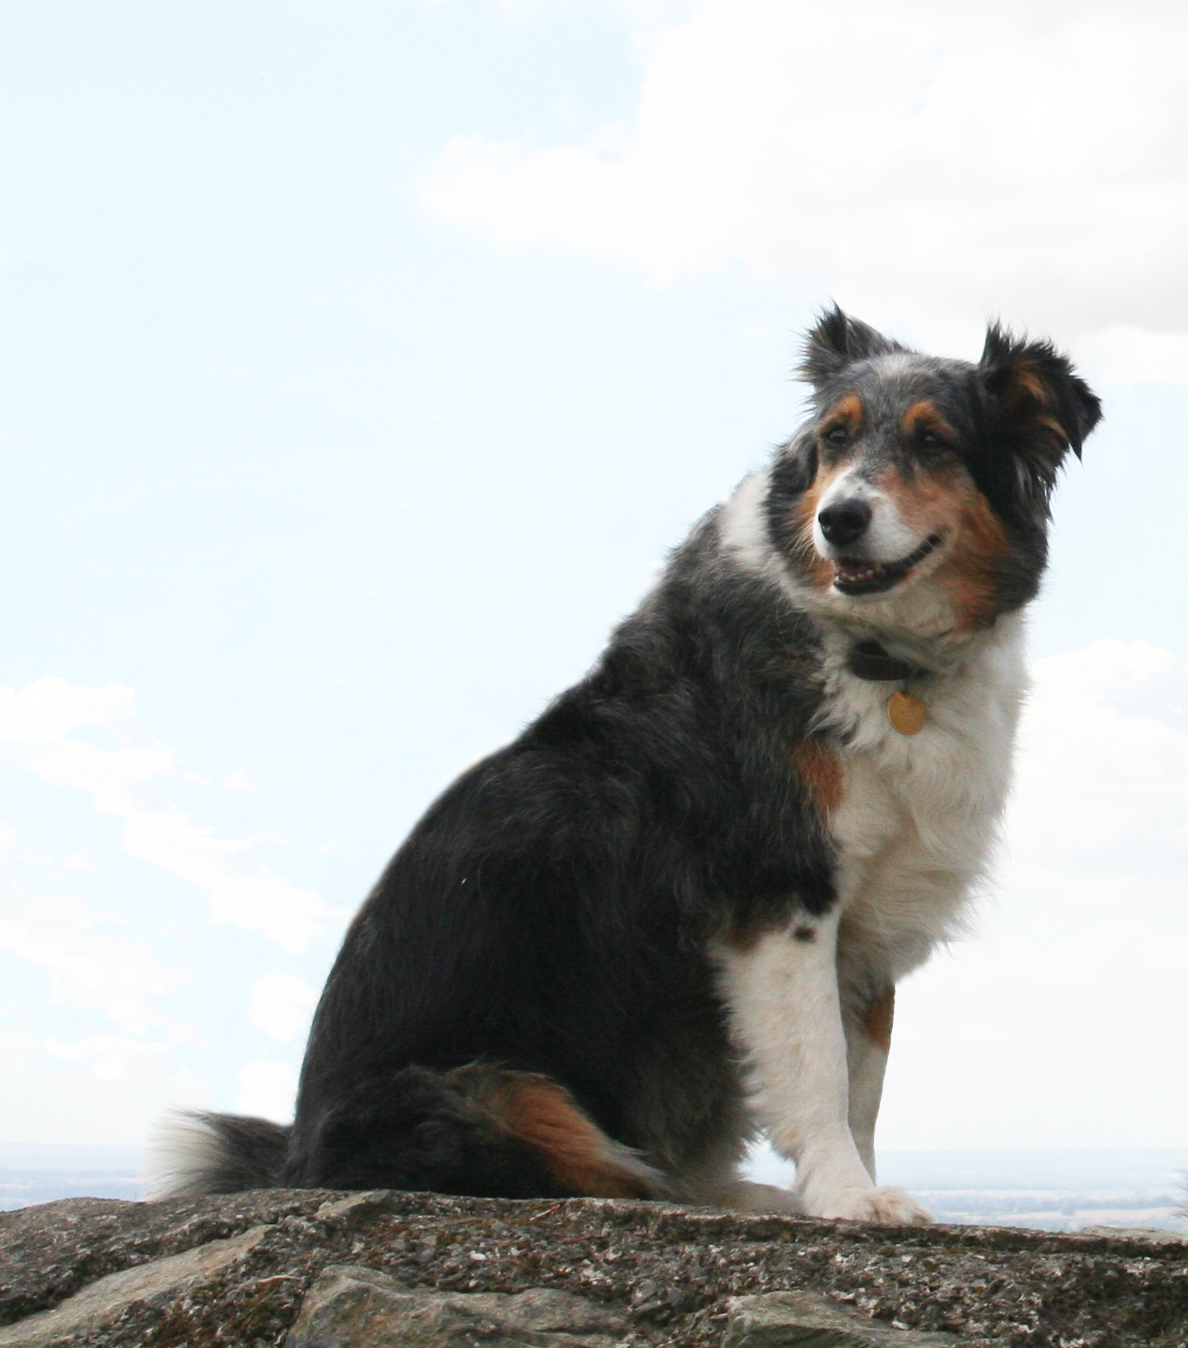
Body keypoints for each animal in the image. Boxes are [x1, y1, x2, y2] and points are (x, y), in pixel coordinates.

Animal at [150, 310, 1105, 1229]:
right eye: (834, 439)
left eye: (934, 442)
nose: (839, 519)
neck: (878, 653)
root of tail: (297, 1160)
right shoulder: (781, 889)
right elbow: (820, 1073)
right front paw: (846, 1196)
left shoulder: (872, 919)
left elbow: (863, 1086)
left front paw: (851, 1189)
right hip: (498, 1092)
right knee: (609, 1174)